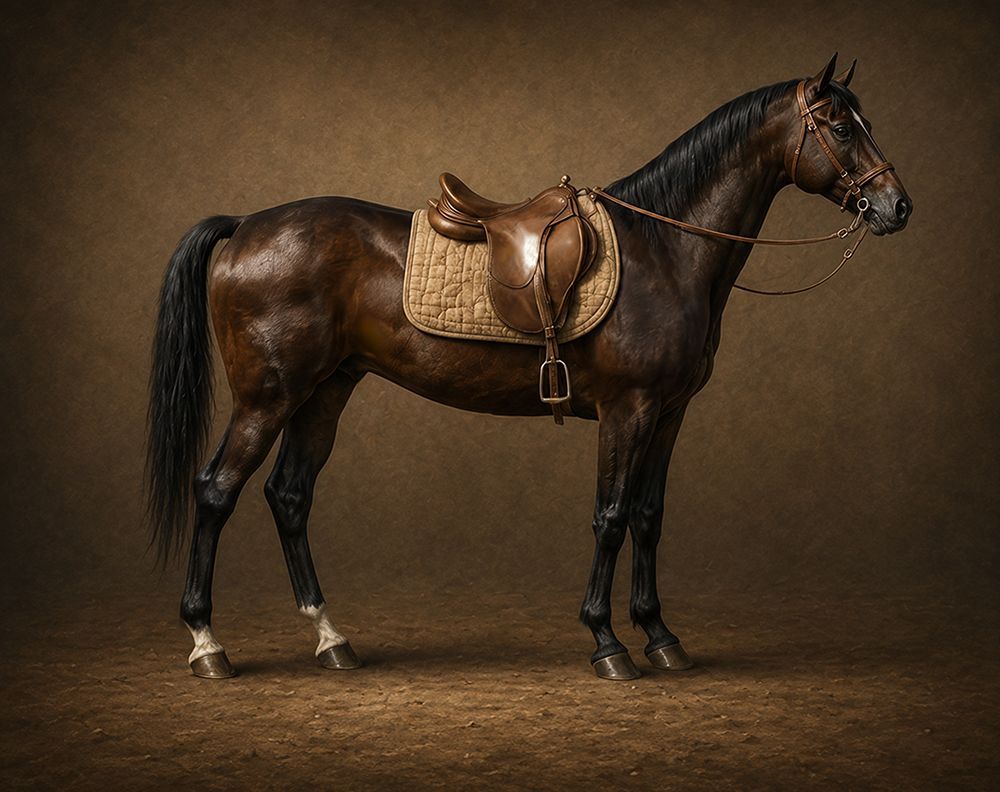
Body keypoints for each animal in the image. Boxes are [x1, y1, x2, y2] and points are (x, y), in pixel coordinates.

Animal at [146, 54, 911, 681]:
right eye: (838, 126)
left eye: (864, 121)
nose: (896, 206)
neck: (665, 249)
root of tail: (245, 226)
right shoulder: (628, 409)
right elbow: (611, 515)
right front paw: (607, 642)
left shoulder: (670, 413)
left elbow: (650, 515)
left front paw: (661, 636)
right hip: (267, 398)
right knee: (216, 491)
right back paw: (208, 645)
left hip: (325, 393)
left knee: (290, 496)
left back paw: (331, 639)